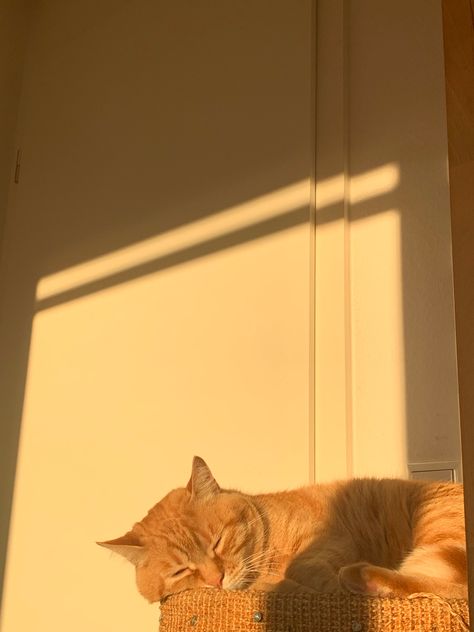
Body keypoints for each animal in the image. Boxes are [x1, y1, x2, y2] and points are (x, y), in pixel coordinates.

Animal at [97, 454, 466, 604]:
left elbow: (302, 569)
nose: (216, 581)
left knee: (454, 589)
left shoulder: (328, 541)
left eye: (217, 542)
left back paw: (363, 580)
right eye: (179, 571)